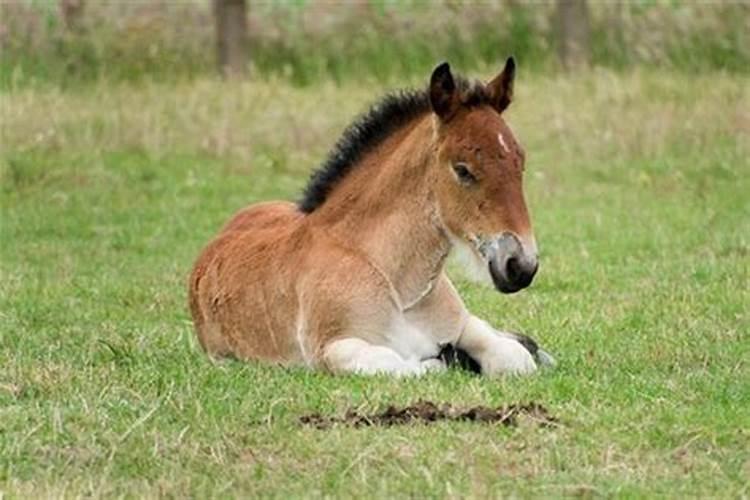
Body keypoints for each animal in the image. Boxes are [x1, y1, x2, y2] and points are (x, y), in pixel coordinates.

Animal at [188, 59, 552, 376]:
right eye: (462, 170)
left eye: (519, 163)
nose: (521, 266)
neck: (399, 285)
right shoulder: (334, 349)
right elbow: (411, 365)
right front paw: (450, 359)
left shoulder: (463, 324)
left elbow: (513, 358)